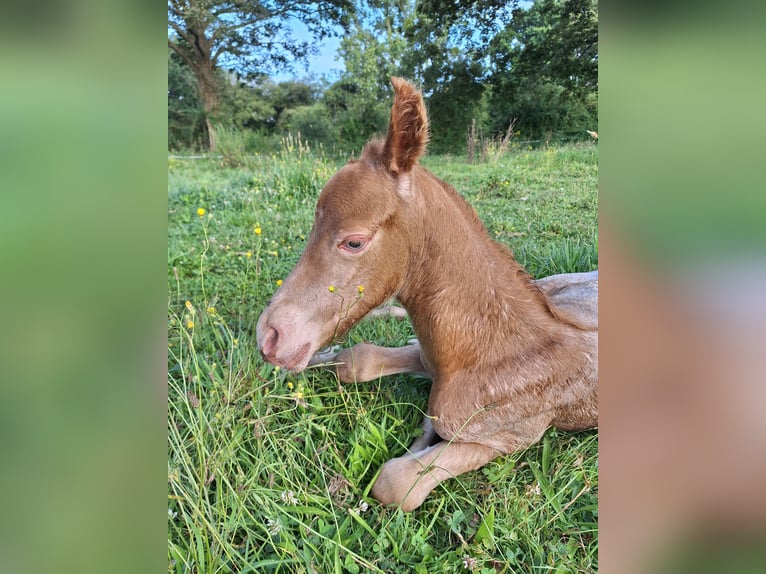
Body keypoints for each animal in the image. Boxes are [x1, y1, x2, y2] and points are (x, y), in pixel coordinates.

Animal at [258, 77, 600, 512]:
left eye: (354, 241)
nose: (269, 336)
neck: (489, 347)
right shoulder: (428, 355)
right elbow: (357, 361)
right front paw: (321, 358)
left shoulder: (509, 438)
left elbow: (396, 481)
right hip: (557, 284)